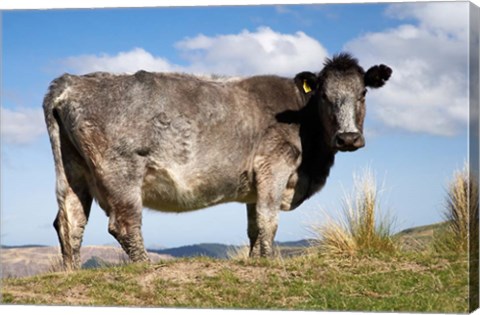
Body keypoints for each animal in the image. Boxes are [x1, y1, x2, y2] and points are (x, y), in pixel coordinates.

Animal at [43, 53, 392, 270]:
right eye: (324, 96)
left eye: (363, 93)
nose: (348, 138)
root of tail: (72, 80)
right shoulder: (275, 165)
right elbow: (269, 219)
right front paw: (268, 262)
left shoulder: (254, 184)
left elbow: (254, 226)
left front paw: (254, 259)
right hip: (121, 171)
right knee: (124, 223)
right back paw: (144, 265)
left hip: (72, 170)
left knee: (69, 220)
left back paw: (71, 272)